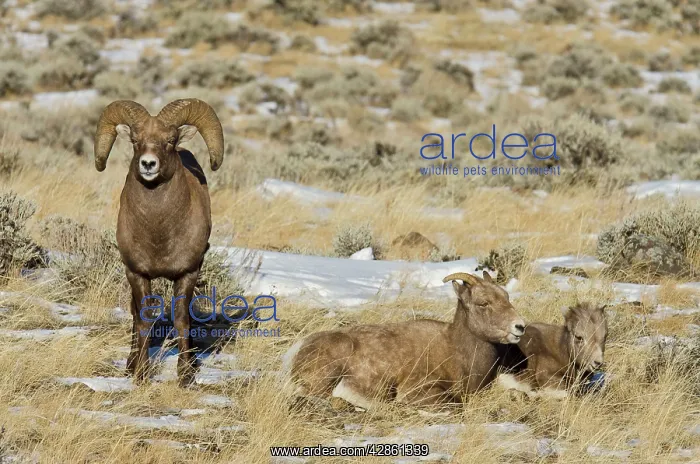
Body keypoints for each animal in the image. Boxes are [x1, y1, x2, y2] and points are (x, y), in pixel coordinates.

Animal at [93, 98, 224, 386]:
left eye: (170, 140)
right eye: (135, 140)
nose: (148, 164)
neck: (159, 234)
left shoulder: (188, 273)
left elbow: (182, 320)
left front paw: (185, 376)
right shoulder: (137, 273)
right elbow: (142, 320)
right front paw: (140, 375)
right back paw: (130, 365)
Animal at [283, 271, 526, 409]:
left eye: (506, 297)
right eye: (483, 303)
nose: (520, 326)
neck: (457, 351)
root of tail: (296, 350)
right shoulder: (418, 390)